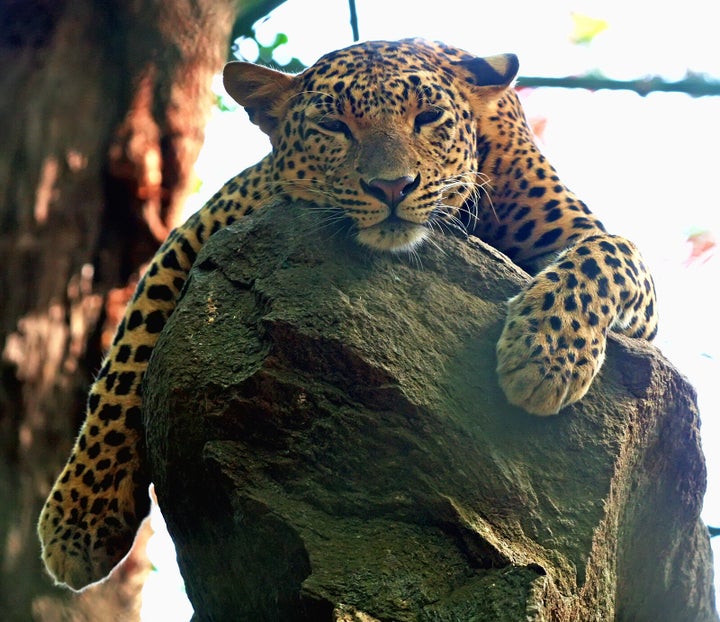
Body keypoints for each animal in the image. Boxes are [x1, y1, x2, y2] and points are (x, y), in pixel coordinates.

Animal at [38, 36, 660, 592]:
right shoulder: (197, 233)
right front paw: (80, 517)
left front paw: (544, 358)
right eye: (334, 126)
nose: (392, 186)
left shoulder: (597, 251)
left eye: (428, 117)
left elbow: (610, 255)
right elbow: (126, 360)